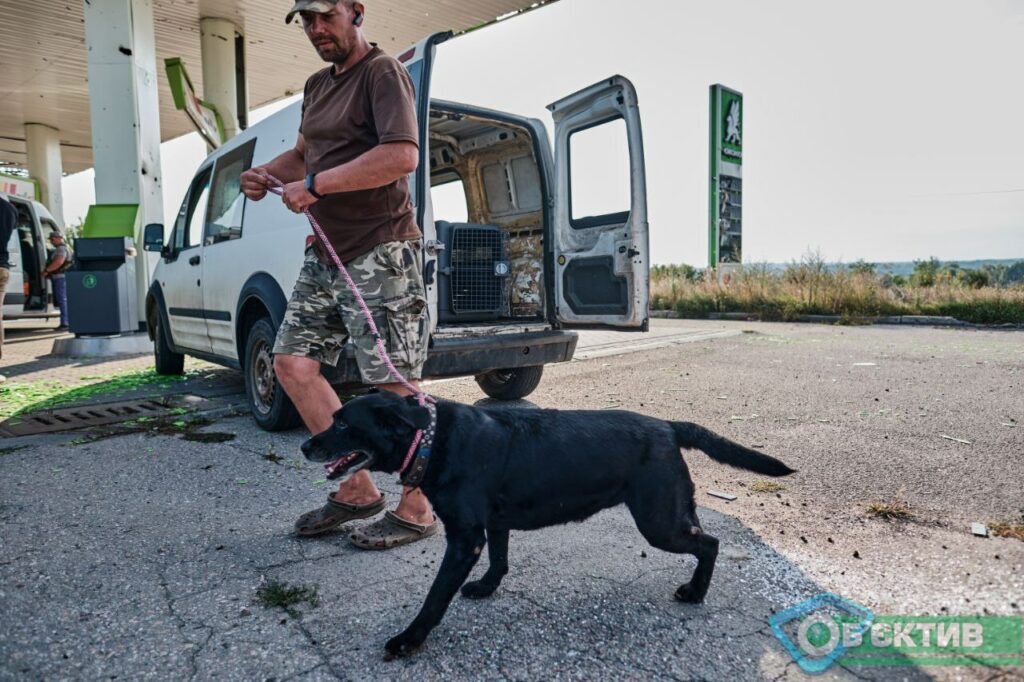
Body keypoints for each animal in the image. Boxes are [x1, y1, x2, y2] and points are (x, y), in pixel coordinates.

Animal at [299, 391, 794, 655]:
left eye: (342, 424)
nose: (306, 445)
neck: (431, 437)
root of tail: (668, 426)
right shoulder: (493, 526)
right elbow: (499, 562)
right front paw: (486, 588)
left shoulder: (464, 539)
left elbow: (435, 596)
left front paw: (410, 638)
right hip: (673, 512)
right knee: (705, 538)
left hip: (659, 521)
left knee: (709, 543)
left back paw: (695, 593)